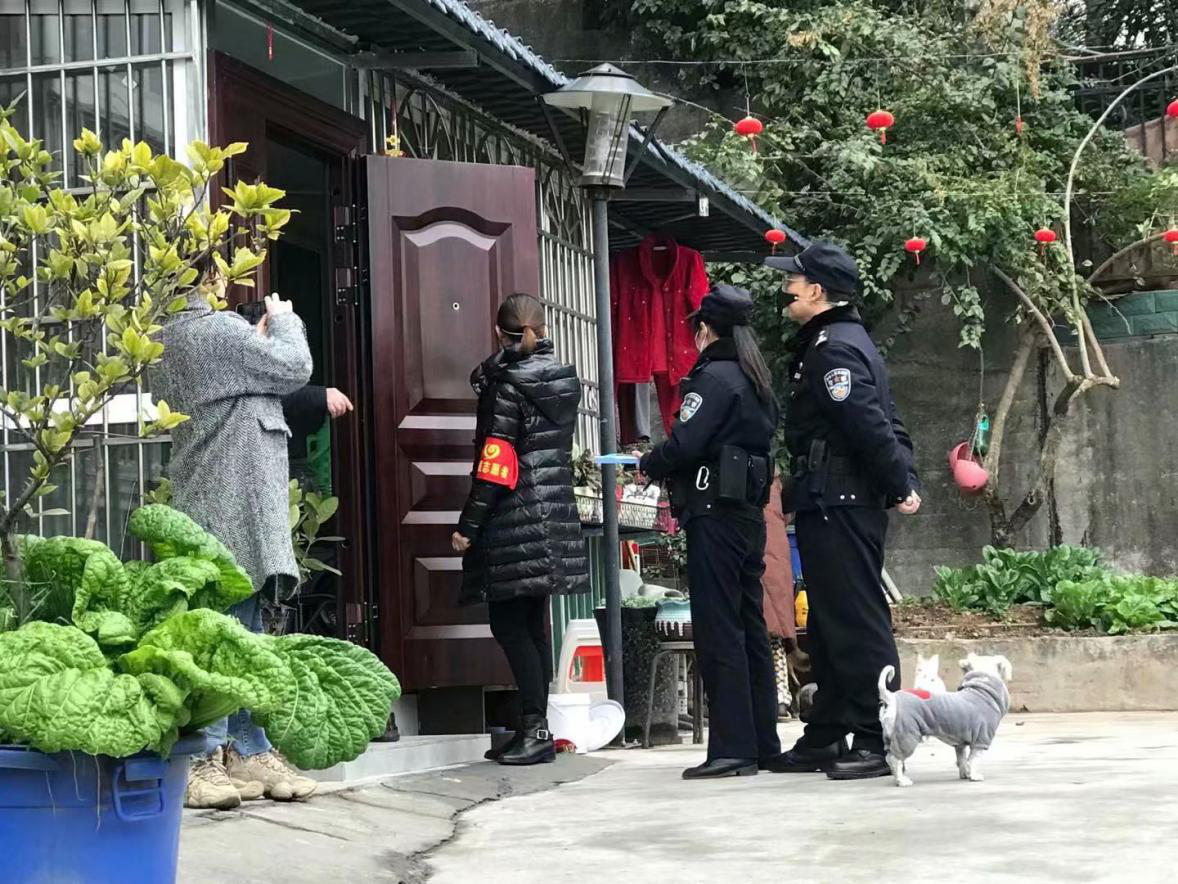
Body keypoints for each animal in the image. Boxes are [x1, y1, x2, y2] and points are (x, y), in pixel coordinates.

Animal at [879, 652, 1013, 787]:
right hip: (906, 735)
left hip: (890, 737)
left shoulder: (960, 743)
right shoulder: (980, 740)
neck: (980, 691)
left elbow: (962, 759)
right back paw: (902, 780)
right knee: (895, 759)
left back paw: (897, 778)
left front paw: (965, 774)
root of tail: (891, 698)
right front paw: (974, 776)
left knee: (889, 758)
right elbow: (973, 760)